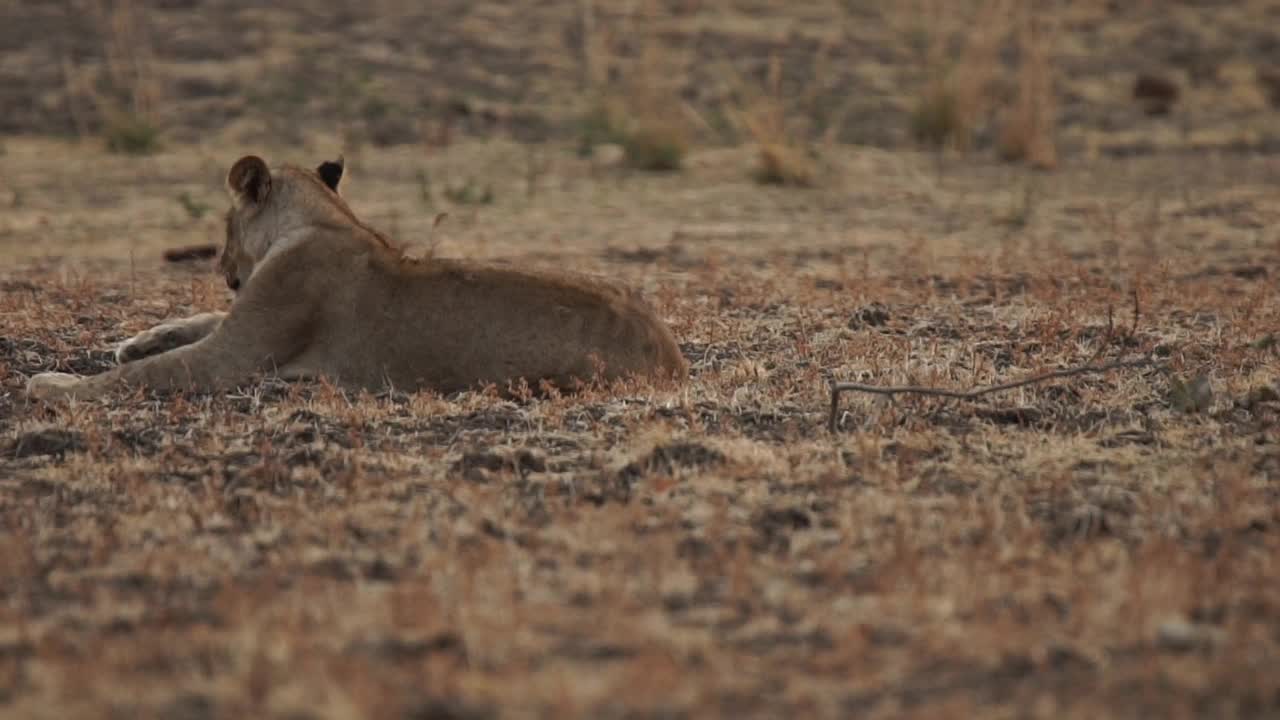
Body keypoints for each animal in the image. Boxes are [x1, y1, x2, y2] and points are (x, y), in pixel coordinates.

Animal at [24, 152, 686, 397]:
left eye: (223, 223)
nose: (221, 265)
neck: (324, 219)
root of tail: (671, 352)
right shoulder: (242, 321)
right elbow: (195, 322)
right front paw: (137, 339)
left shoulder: (233, 359)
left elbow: (145, 376)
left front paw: (51, 385)